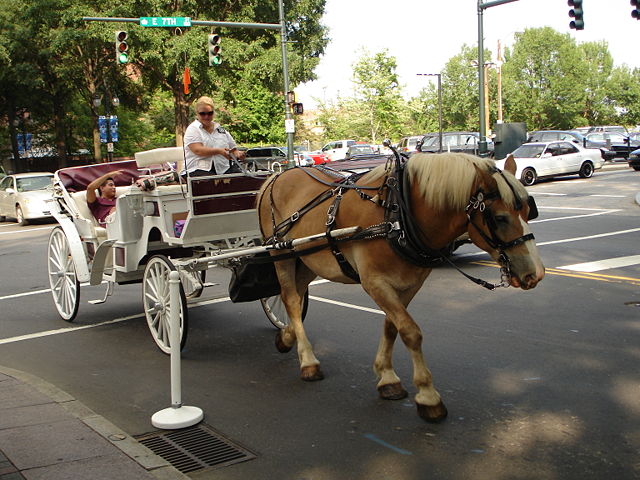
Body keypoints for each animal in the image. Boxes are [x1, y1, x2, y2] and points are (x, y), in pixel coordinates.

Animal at [256, 152, 545, 422]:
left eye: (528, 211)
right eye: (500, 218)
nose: (536, 273)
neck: (398, 214)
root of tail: (276, 176)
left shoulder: (410, 283)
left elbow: (392, 326)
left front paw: (387, 377)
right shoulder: (374, 282)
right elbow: (411, 332)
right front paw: (428, 396)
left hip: (308, 260)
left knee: (295, 295)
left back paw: (286, 337)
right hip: (281, 255)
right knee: (291, 299)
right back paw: (308, 361)